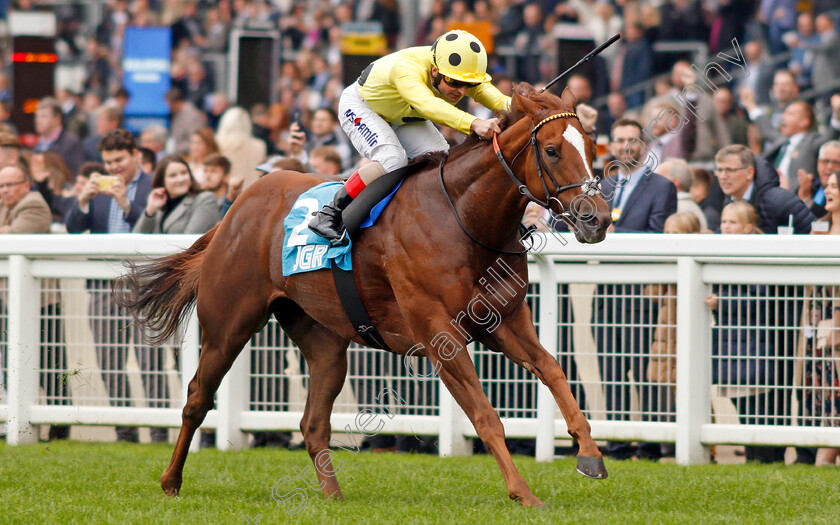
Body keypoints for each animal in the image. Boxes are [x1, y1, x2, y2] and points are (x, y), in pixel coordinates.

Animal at [116, 84, 612, 506]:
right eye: (552, 150)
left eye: (592, 150)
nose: (598, 218)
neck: (465, 216)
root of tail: (236, 205)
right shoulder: (440, 333)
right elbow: (486, 416)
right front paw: (523, 493)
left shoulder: (504, 321)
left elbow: (554, 370)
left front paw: (589, 453)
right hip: (228, 323)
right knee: (197, 398)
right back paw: (171, 481)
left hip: (323, 340)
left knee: (313, 423)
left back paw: (332, 496)